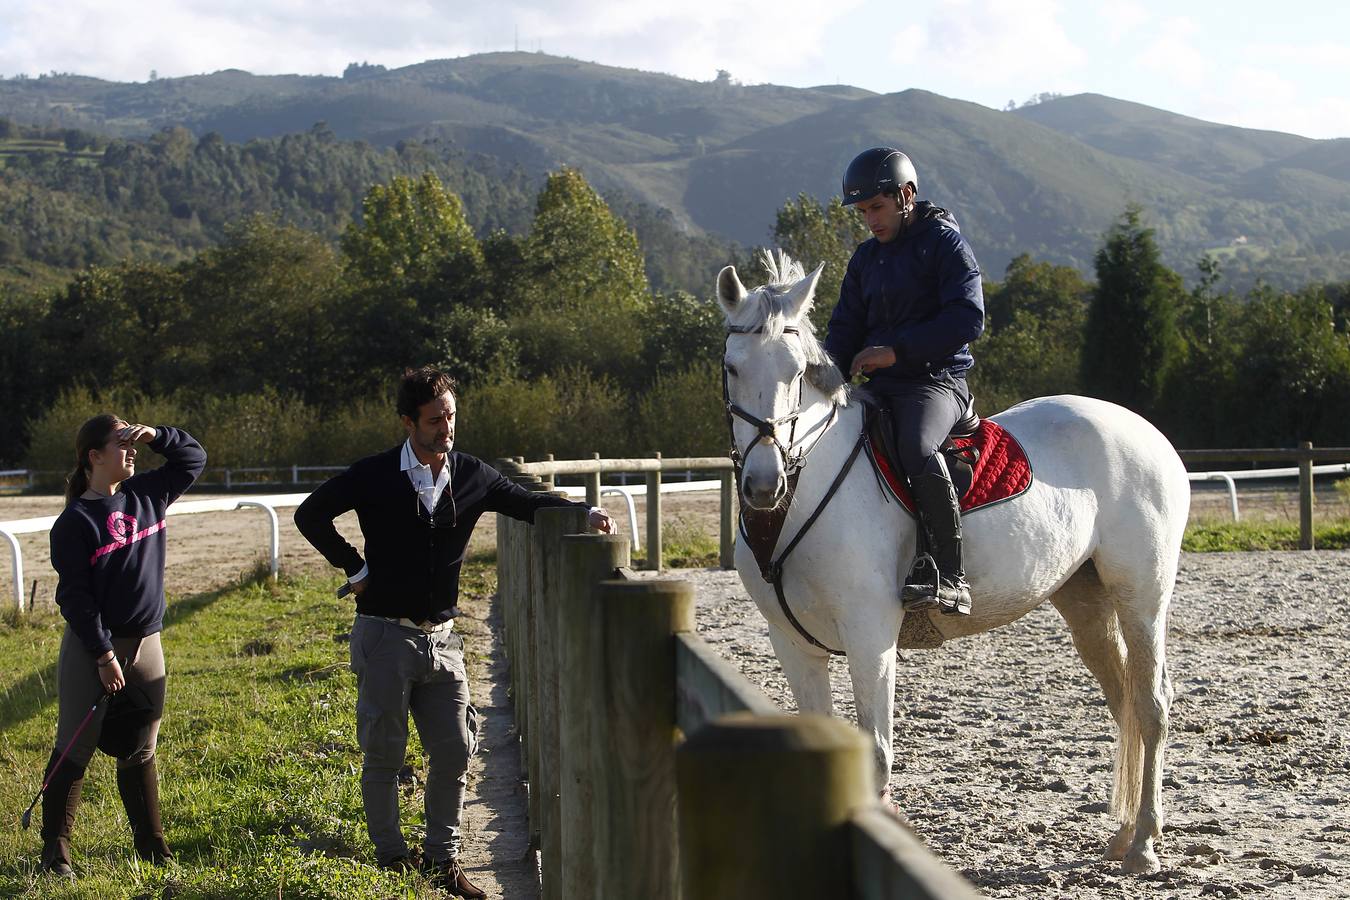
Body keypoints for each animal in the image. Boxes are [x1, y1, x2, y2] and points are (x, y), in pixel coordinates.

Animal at [723, 252, 1188, 874]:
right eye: (732, 367)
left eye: (798, 372)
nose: (762, 485)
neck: (803, 493)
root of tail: (1146, 431)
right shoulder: (792, 643)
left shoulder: (871, 637)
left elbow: (877, 752)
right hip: (1085, 602)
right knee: (1125, 700)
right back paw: (1122, 835)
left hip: (1142, 596)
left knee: (1151, 703)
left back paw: (1144, 844)